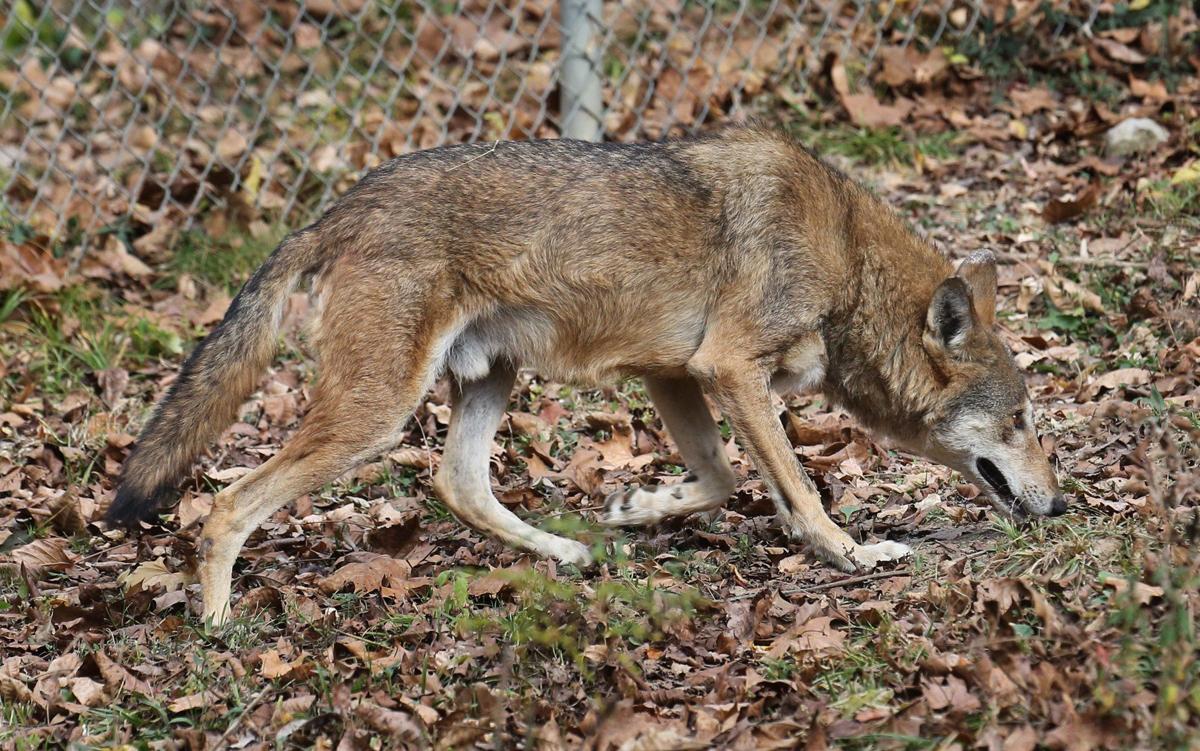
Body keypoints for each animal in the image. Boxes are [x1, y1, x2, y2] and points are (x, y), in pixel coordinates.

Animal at [107, 124, 1066, 625]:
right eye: (1020, 420)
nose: (1060, 506)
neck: (848, 259)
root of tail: (342, 202)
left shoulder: (676, 374)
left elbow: (719, 480)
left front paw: (635, 508)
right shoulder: (729, 368)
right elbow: (798, 489)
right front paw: (853, 552)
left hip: (487, 381)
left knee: (456, 481)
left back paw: (566, 551)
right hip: (374, 414)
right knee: (228, 501)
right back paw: (217, 622)